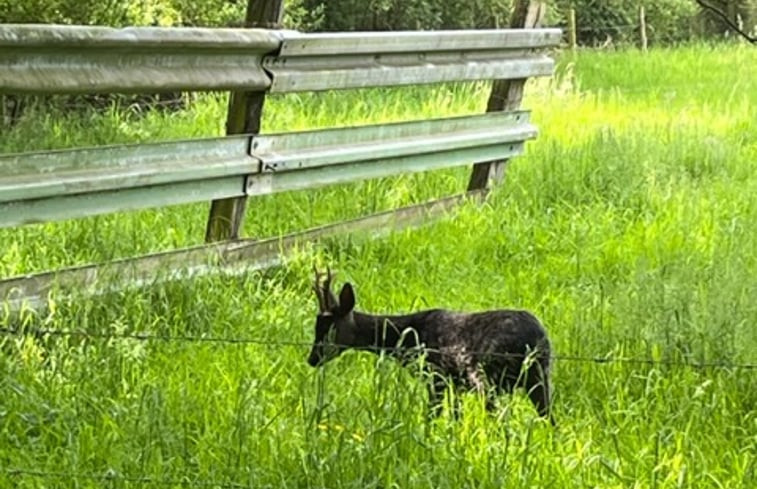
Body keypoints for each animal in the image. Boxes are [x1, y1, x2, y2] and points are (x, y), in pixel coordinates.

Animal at [308, 266, 556, 424]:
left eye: (328, 329)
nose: (311, 359)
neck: (410, 339)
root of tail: (537, 339)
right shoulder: (456, 384)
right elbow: (455, 417)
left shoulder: (435, 375)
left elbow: (432, 414)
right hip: (539, 377)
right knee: (549, 419)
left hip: (487, 376)